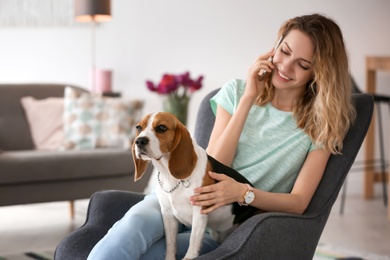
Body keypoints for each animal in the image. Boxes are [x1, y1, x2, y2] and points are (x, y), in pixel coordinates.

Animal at [133, 111, 258, 260]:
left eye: (161, 128)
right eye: (139, 128)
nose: (139, 141)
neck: (170, 176)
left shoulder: (199, 212)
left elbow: (193, 240)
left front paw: (189, 257)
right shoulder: (168, 215)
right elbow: (170, 243)